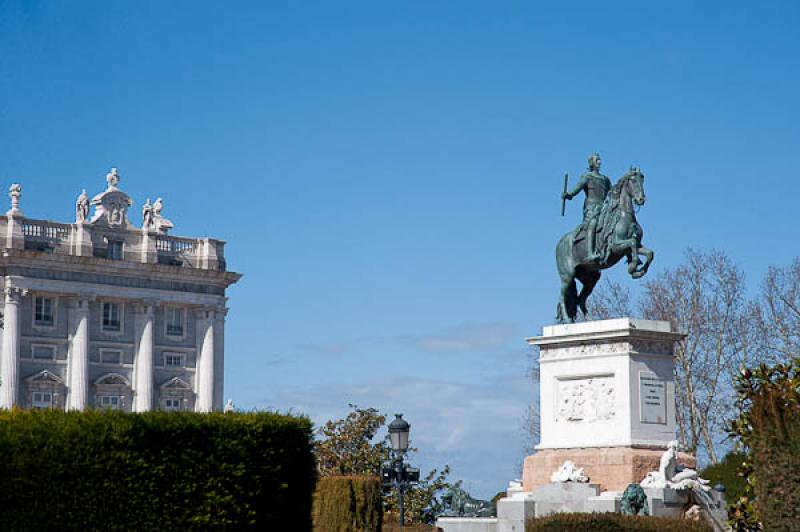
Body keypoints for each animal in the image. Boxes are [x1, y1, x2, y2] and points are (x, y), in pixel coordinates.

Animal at [552, 168, 652, 322]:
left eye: (642, 179)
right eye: (633, 180)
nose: (641, 199)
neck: (624, 215)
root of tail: (560, 243)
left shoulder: (635, 246)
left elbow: (648, 252)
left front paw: (639, 271)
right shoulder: (616, 247)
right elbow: (632, 243)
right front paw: (633, 266)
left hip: (590, 278)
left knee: (580, 299)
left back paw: (590, 320)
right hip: (567, 276)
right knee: (562, 296)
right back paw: (568, 320)